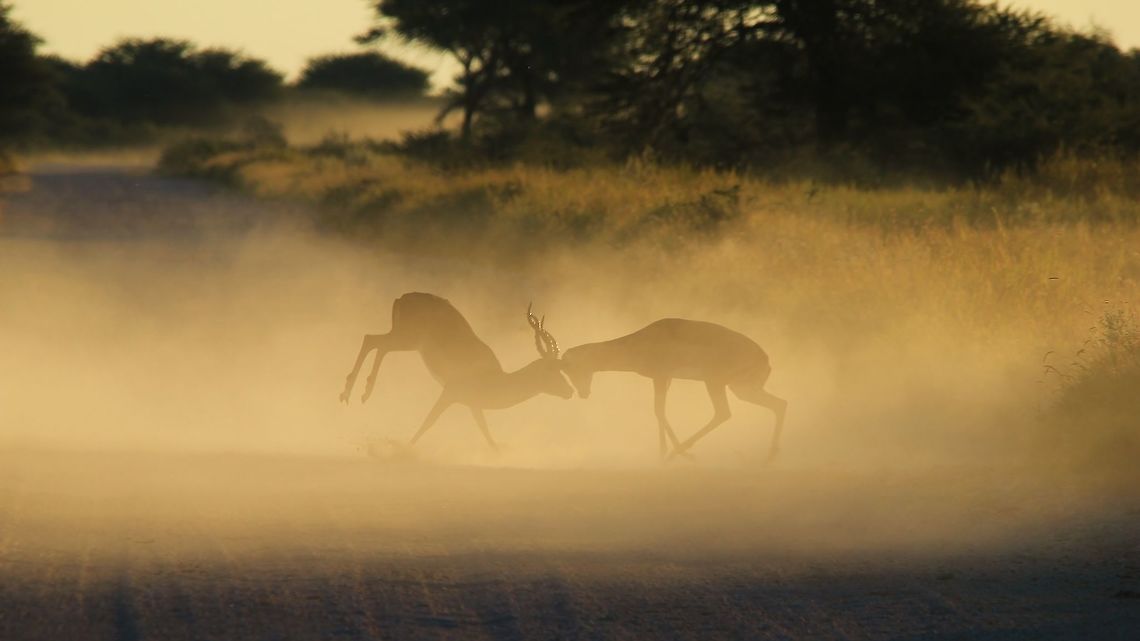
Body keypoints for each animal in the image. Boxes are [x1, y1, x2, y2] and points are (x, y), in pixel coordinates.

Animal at [339, 293, 572, 450]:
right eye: (551, 369)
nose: (569, 391)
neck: (494, 379)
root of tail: (402, 297)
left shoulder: (473, 405)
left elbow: (487, 434)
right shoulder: (450, 393)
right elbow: (429, 421)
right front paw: (404, 449)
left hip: (405, 339)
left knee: (378, 344)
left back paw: (360, 393)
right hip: (407, 339)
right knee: (372, 340)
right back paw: (352, 394)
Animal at [560, 319, 786, 461]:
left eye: (573, 367)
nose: (583, 393)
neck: (639, 343)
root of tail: (765, 358)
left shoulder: (660, 377)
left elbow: (659, 411)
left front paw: (669, 454)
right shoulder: (665, 379)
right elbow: (660, 411)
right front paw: (662, 453)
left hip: (716, 383)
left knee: (723, 413)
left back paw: (682, 453)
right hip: (742, 389)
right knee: (780, 404)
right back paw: (770, 457)